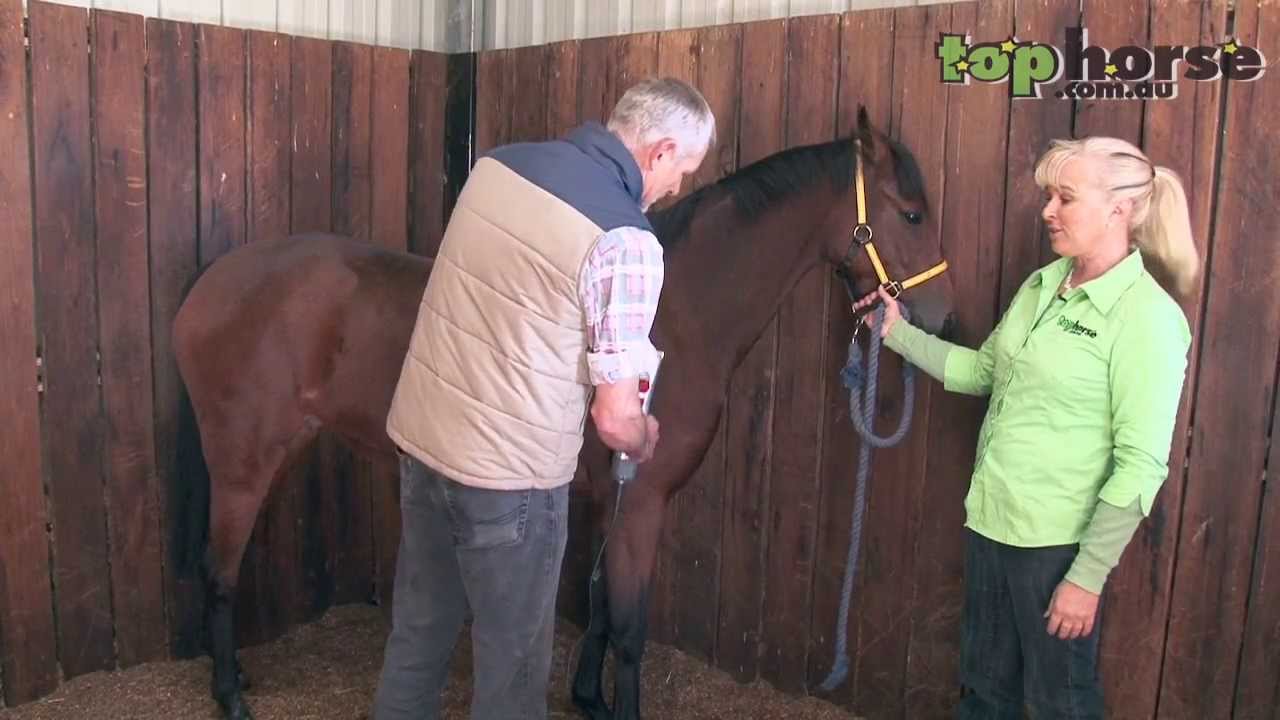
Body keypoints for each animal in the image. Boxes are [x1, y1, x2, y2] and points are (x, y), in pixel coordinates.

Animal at [170, 107, 956, 720]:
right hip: (243, 465)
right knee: (218, 569)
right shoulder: (644, 500)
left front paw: (588, 697)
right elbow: (631, 628)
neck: (680, 313)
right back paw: (229, 695)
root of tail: (210, 284)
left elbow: (602, 602)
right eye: (912, 214)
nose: (943, 317)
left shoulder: (613, 498)